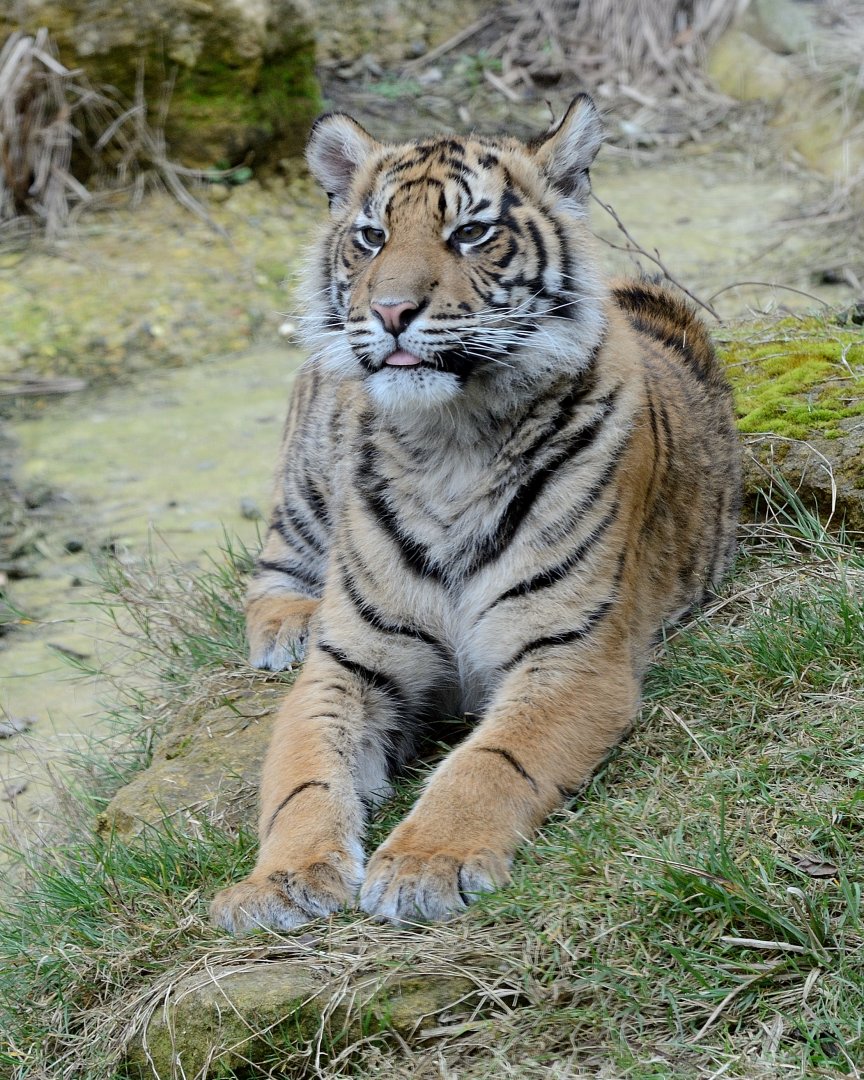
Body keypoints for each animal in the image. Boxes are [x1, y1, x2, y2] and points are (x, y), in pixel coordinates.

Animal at [210, 95, 741, 933]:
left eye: (470, 233)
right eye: (371, 236)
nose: (391, 310)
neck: (448, 445)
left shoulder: (570, 654)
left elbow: (489, 763)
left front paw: (429, 863)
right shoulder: (348, 665)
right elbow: (302, 779)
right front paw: (280, 882)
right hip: (306, 480)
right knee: (272, 568)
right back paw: (287, 627)